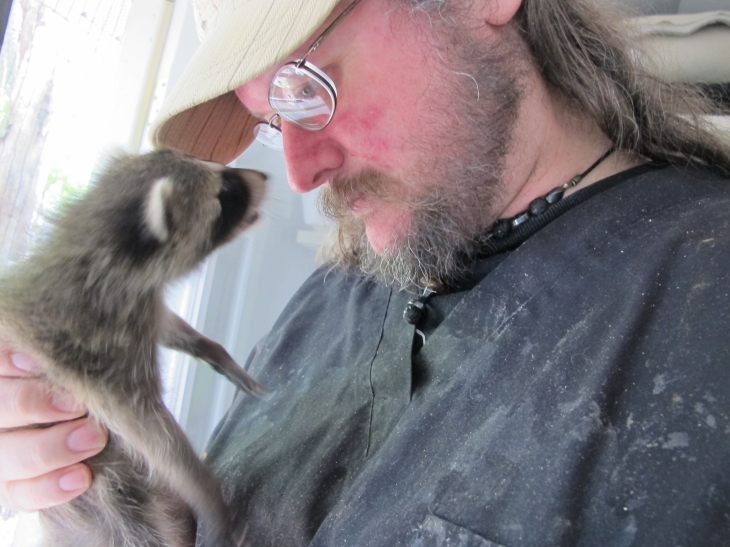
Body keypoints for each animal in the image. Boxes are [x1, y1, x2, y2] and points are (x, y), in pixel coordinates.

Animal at [0, 149, 268, 547]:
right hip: (111, 499)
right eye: (226, 194)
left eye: (216, 166)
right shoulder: (91, 356)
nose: (264, 176)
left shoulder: (139, 311)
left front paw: (214, 351)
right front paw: (209, 494)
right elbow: (155, 438)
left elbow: (169, 328)